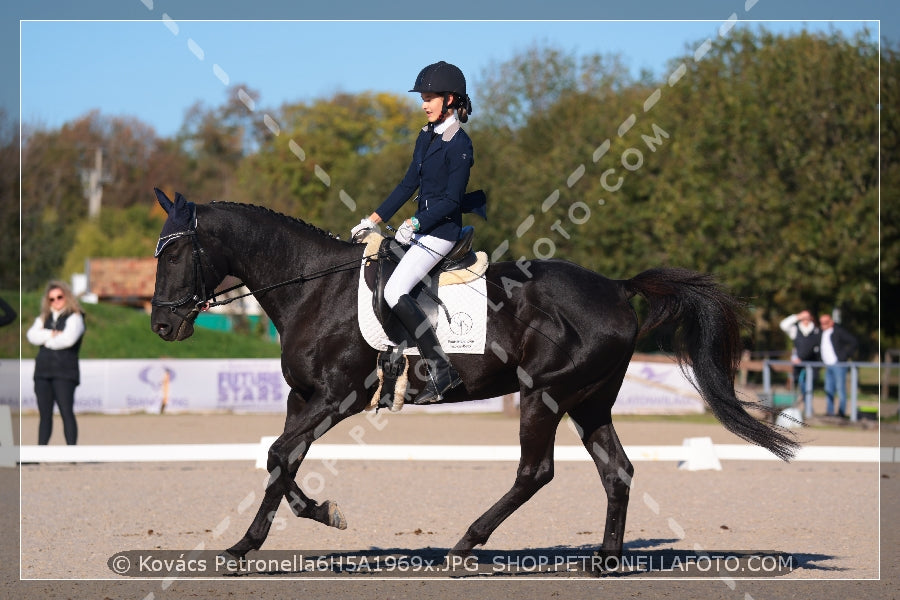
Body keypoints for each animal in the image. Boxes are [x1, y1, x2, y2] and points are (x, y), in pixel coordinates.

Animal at [151, 190, 800, 568]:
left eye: (176, 253)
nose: (162, 325)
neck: (315, 288)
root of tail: (616, 289)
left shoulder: (338, 398)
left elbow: (280, 454)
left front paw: (314, 517)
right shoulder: (303, 397)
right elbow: (281, 459)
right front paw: (262, 536)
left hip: (545, 395)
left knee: (536, 472)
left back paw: (464, 545)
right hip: (590, 402)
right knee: (616, 471)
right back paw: (605, 561)